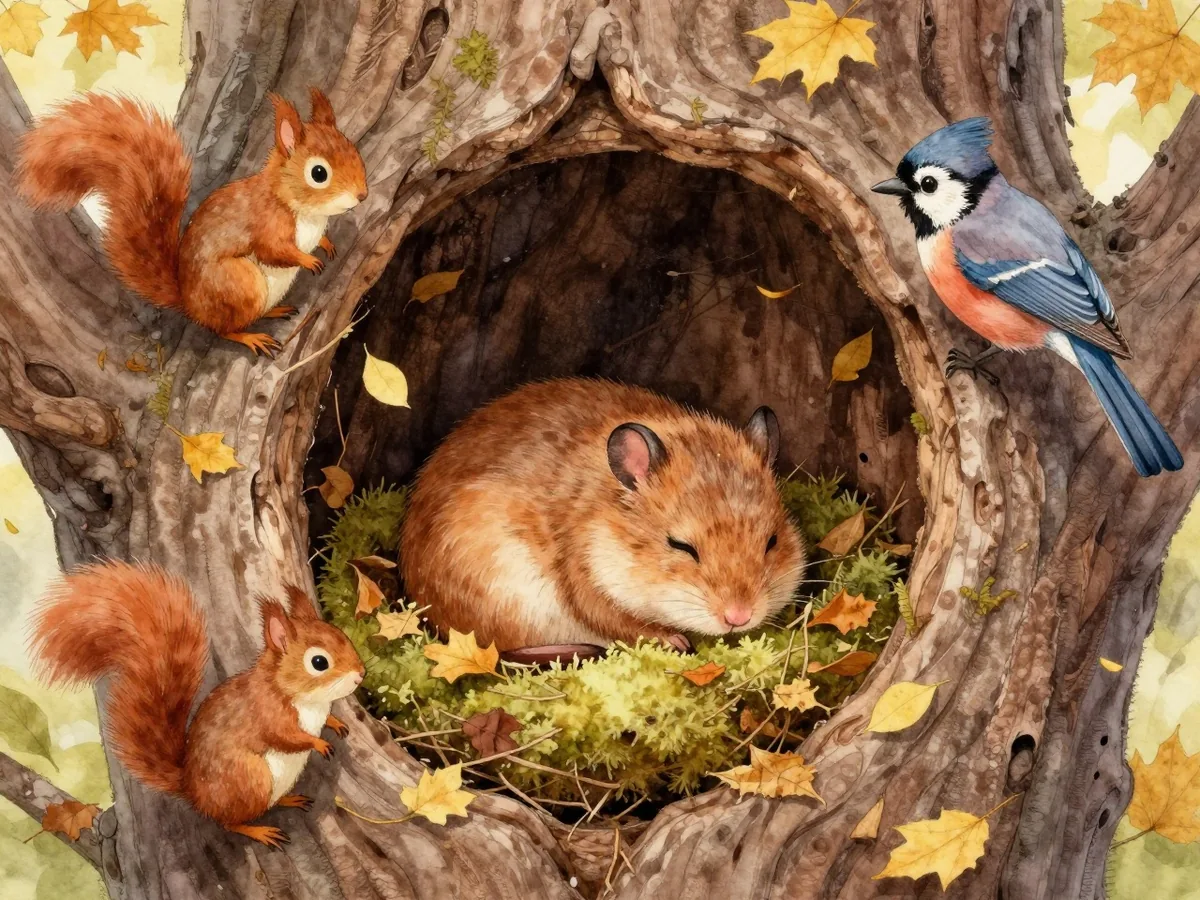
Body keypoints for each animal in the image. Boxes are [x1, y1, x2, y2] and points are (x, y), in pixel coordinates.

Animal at [16, 89, 368, 357]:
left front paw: (325, 244)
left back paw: (274, 311)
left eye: (354, 149)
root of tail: (188, 302)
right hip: (241, 283)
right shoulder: (267, 222)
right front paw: (307, 259)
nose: (363, 195)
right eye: (318, 173)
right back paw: (251, 337)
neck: (303, 209)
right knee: (223, 329)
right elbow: (273, 250)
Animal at [30, 561, 365, 849]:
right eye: (319, 662)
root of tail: (192, 791)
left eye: (343, 636)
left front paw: (335, 724)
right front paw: (318, 742)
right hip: (250, 778)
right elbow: (285, 736)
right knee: (229, 822)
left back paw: (290, 799)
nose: (361, 674)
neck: (305, 700)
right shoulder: (266, 712)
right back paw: (260, 831)